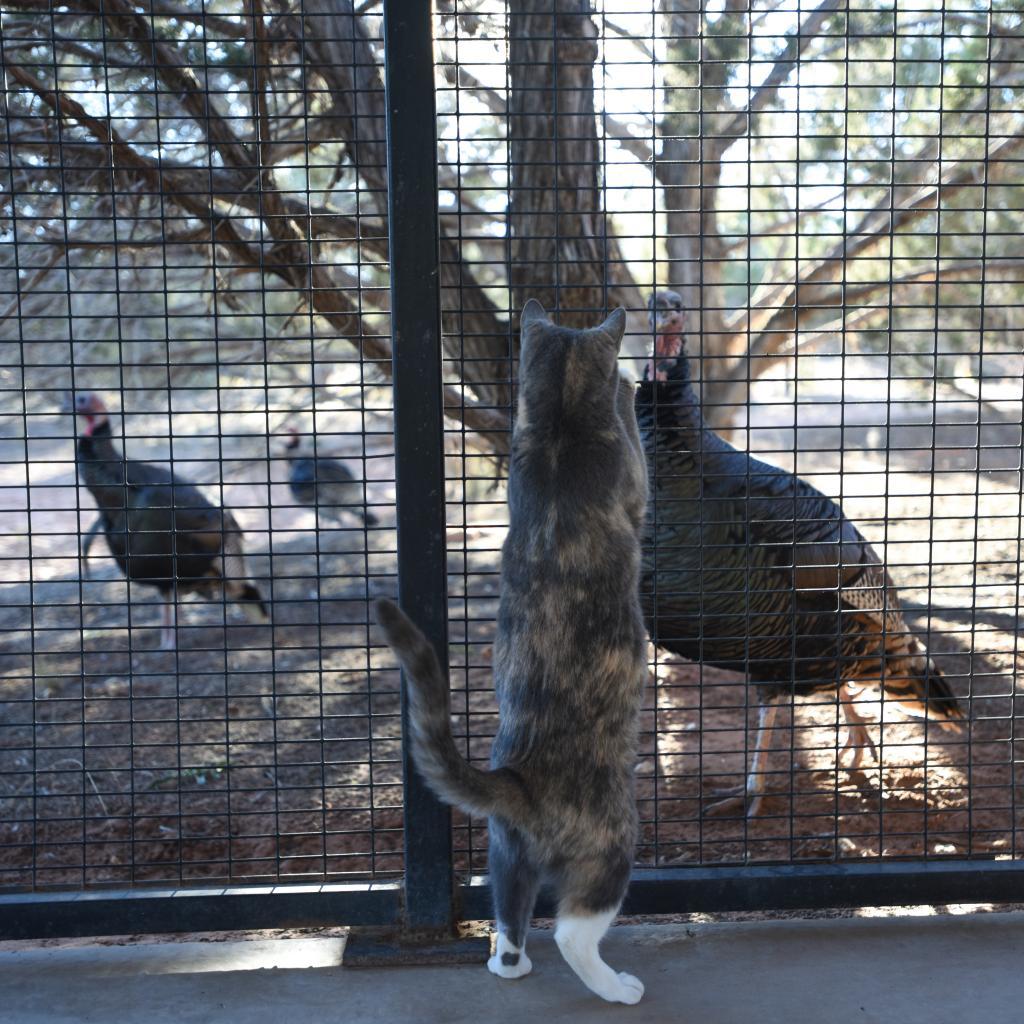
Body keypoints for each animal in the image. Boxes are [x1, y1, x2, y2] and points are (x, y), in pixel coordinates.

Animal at [376, 299, 647, 1003]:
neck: (558, 429)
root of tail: (516, 784)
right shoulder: (631, 482)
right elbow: (638, 455)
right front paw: (630, 385)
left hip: (504, 854)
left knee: (510, 915)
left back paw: (510, 962)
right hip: (612, 842)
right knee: (572, 931)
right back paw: (615, 986)